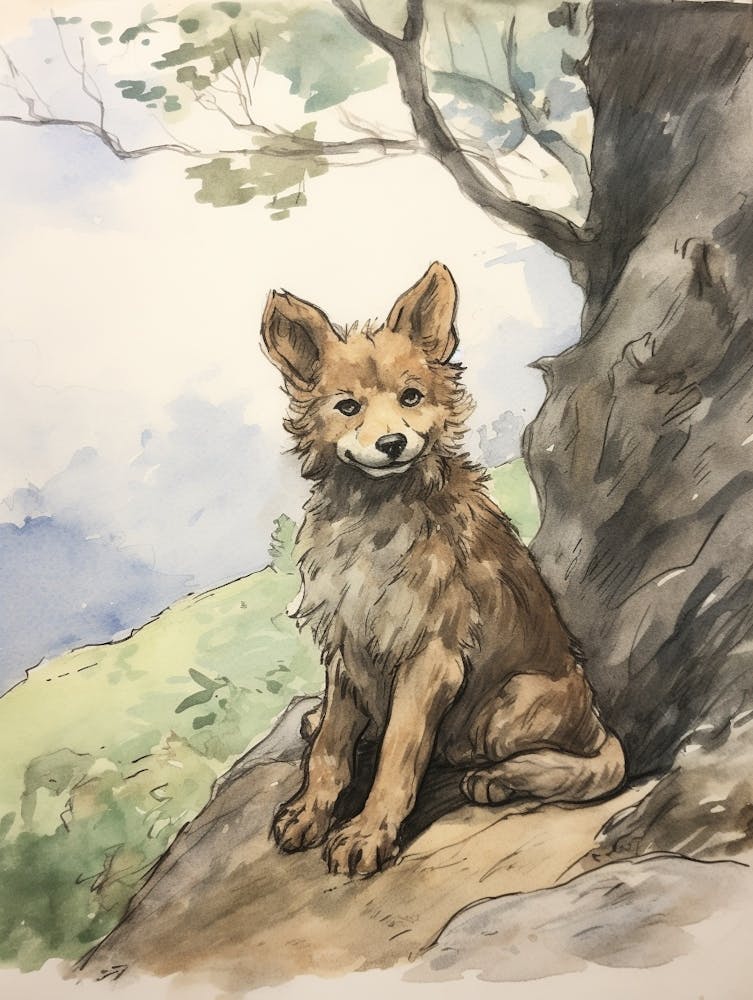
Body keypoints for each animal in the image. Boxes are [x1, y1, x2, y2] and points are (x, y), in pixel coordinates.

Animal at [261, 262, 625, 877]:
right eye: (348, 407)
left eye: (411, 397)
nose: (392, 442)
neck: (377, 514)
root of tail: (593, 713)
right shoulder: (348, 640)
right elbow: (331, 745)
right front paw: (311, 809)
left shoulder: (432, 656)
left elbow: (399, 753)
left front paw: (367, 833)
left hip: (510, 703)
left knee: (592, 762)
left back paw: (498, 779)